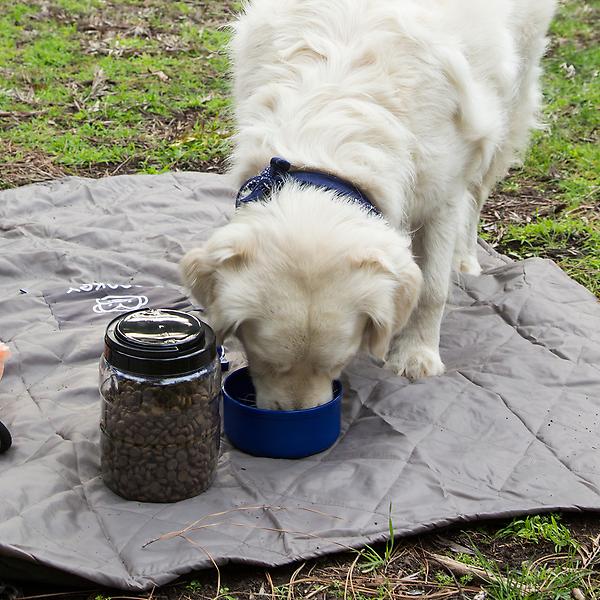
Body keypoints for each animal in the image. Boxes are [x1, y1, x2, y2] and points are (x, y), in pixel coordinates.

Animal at [180, 0, 556, 408]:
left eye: (336, 363)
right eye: (263, 360)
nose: (298, 414)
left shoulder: (443, 197)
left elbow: (432, 288)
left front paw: (417, 354)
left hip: (508, 106)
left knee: (478, 192)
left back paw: (465, 260)